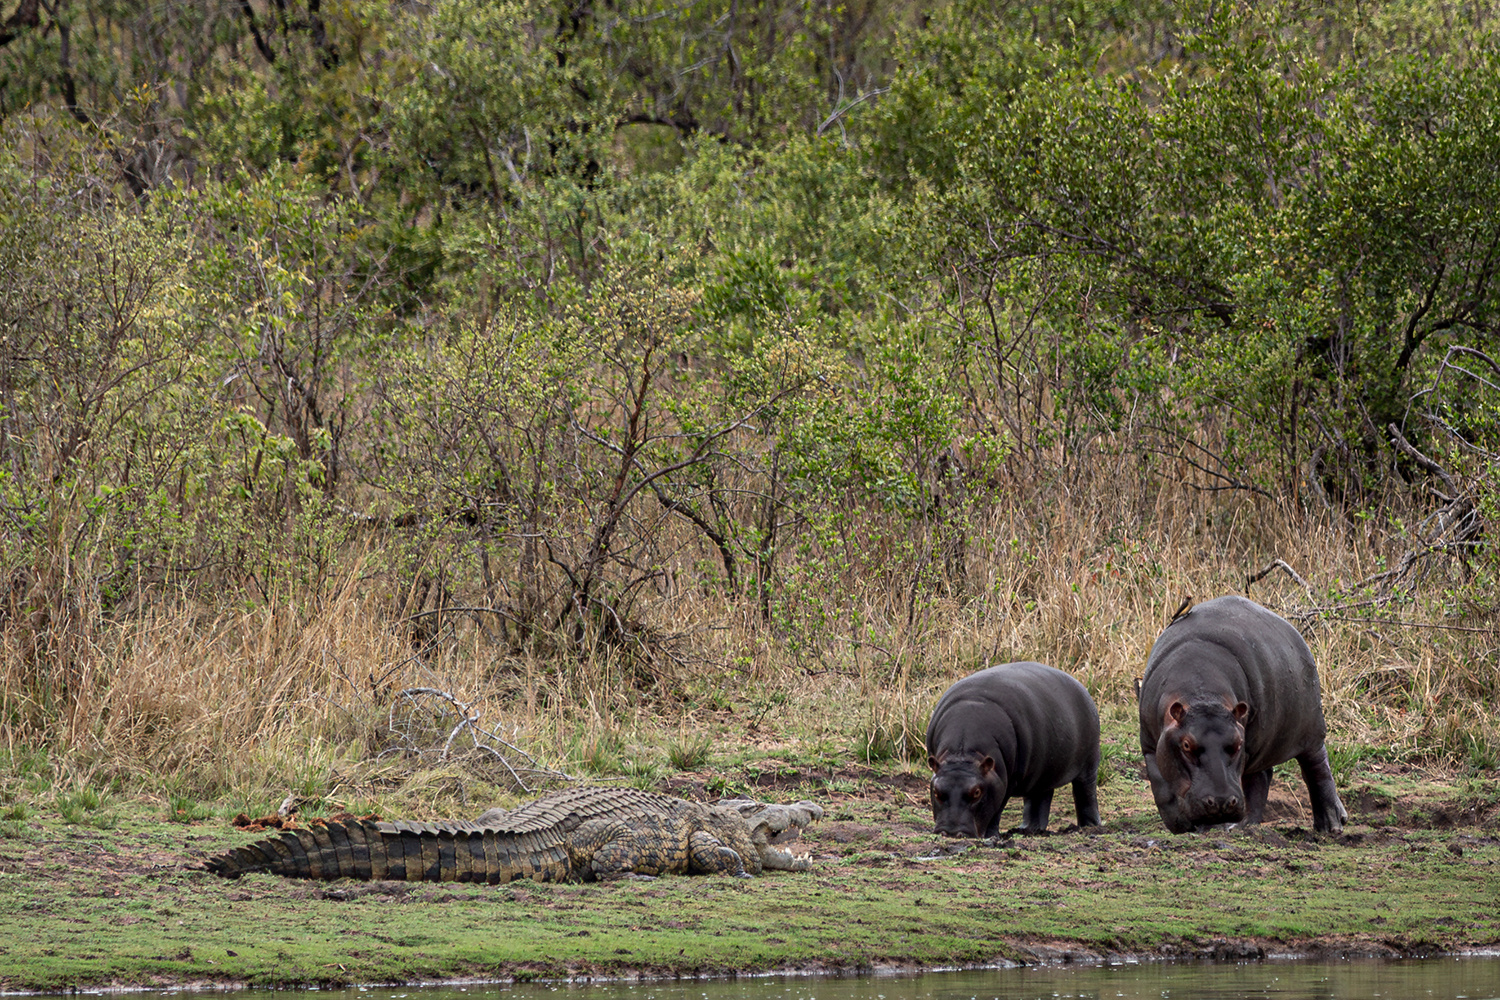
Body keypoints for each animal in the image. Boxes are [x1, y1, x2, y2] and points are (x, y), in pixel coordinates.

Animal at [924, 665, 1104, 839]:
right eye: (936, 792)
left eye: (977, 792)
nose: (951, 832)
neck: (963, 754)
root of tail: (1080, 686)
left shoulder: (1005, 782)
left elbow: (996, 810)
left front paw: (991, 836)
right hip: (1042, 770)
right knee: (1039, 797)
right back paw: (1028, 830)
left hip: (1089, 763)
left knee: (1085, 792)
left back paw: (1090, 827)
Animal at [1134, 599, 1350, 833]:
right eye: (1186, 745)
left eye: (1237, 743)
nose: (1221, 803)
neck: (1202, 695)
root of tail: (1293, 632)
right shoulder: (1150, 745)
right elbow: (1163, 791)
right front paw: (1181, 824)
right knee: (1262, 776)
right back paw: (1246, 825)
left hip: (1309, 730)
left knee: (1316, 768)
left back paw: (1331, 825)